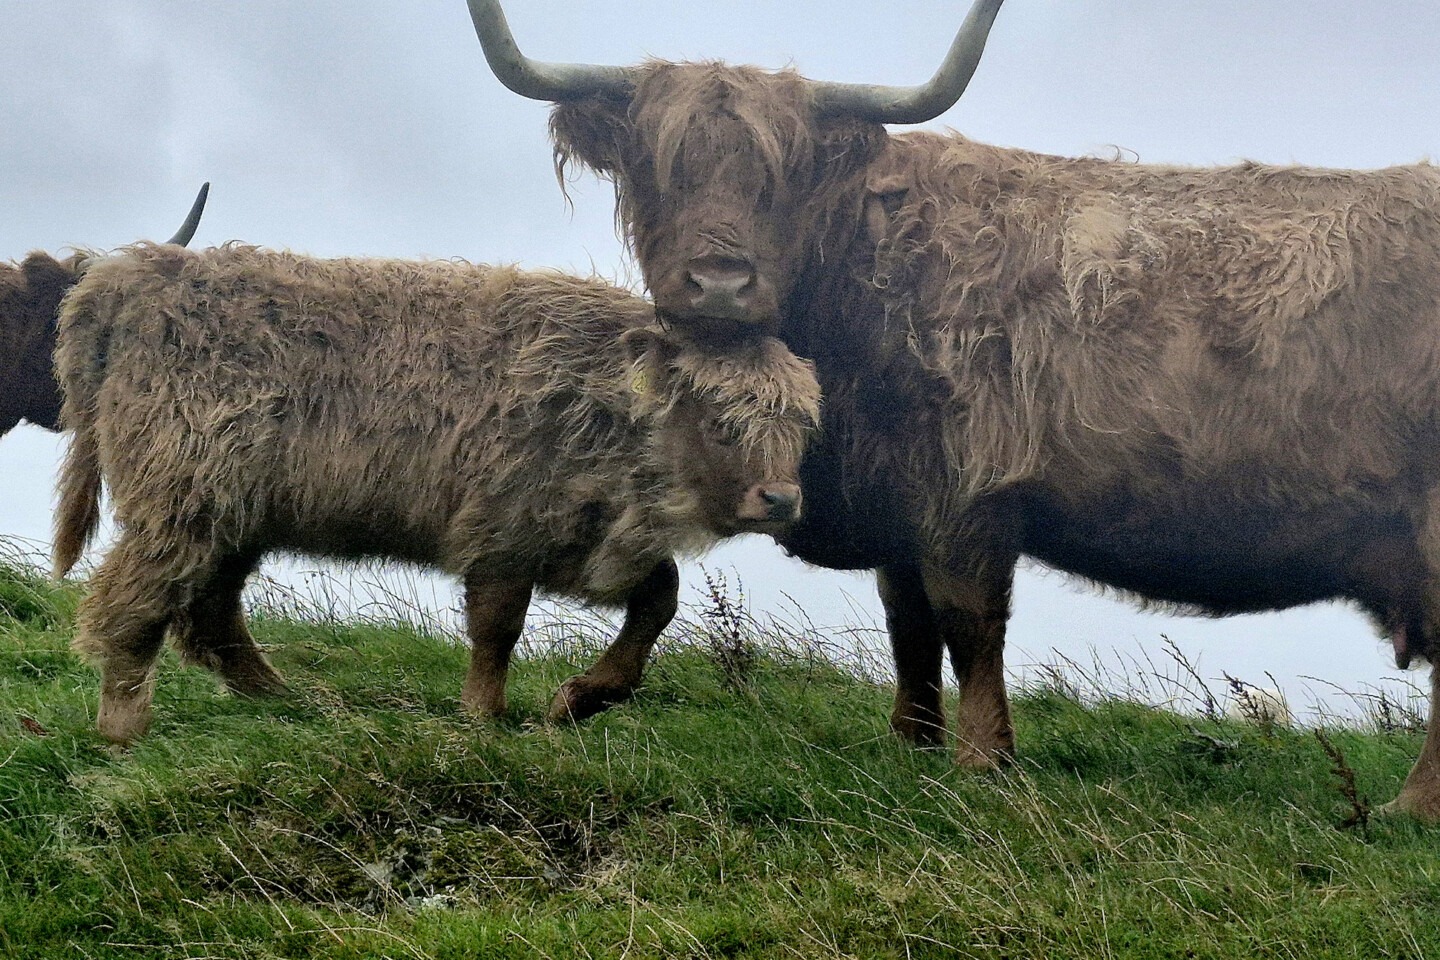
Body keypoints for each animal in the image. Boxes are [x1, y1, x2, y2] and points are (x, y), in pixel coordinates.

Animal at [52, 243, 820, 744]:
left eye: (801, 425)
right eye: (722, 420)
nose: (781, 500)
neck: (610, 404)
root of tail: (137, 271)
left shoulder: (585, 543)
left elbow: (659, 600)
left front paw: (582, 698)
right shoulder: (503, 534)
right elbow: (498, 628)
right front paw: (484, 716)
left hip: (236, 519)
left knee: (209, 610)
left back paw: (286, 700)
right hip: (183, 504)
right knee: (136, 602)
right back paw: (123, 727)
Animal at [467, 0, 1440, 818]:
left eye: (786, 175)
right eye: (654, 165)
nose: (719, 281)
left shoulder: (967, 492)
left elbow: (969, 623)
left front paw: (982, 759)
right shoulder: (900, 502)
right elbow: (909, 624)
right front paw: (912, 741)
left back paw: (1409, 808)